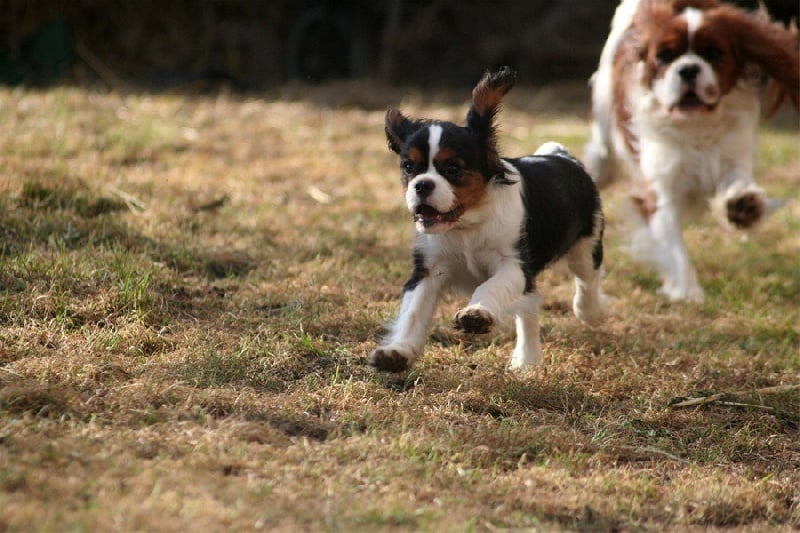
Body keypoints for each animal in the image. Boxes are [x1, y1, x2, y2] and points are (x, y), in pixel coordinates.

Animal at [584, 0, 796, 302]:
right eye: (664, 55)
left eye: (714, 54)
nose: (688, 69)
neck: (695, 126)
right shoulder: (659, 188)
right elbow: (672, 244)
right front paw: (686, 291)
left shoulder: (732, 157)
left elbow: (736, 182)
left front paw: (743, 206)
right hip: (604, 150)